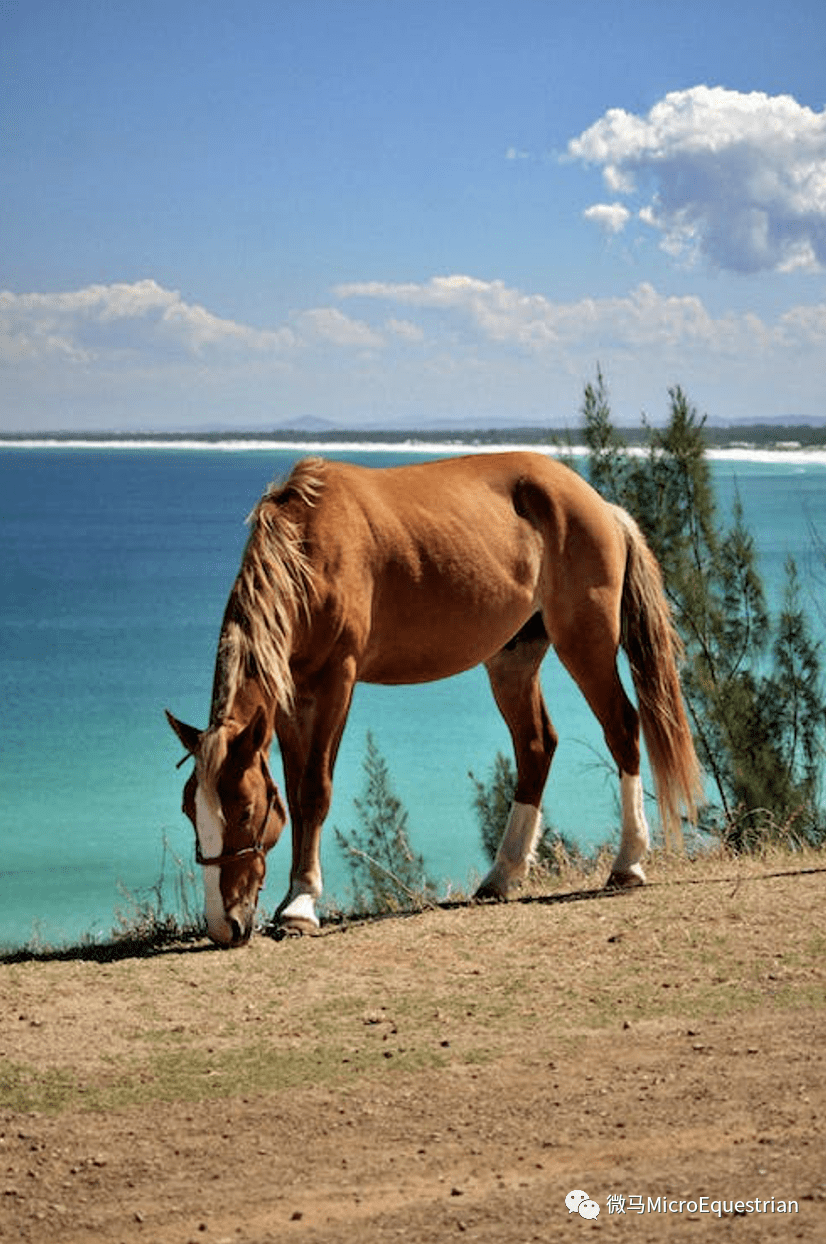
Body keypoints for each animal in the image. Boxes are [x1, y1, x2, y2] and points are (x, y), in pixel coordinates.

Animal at [170, 452, 701, 945]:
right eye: (189, 810)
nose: (223, 925)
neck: (308, 549)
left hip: (584, 641)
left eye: (243, 811)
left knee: (621, 729)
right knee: (536, 746)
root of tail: (599, 505)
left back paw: (627, 863)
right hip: (513, 659)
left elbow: (315, 790)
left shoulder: (336, 681)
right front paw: (292, 898)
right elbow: (297, 796)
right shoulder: (289, 694)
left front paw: (300, 906)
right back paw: (502, 875)